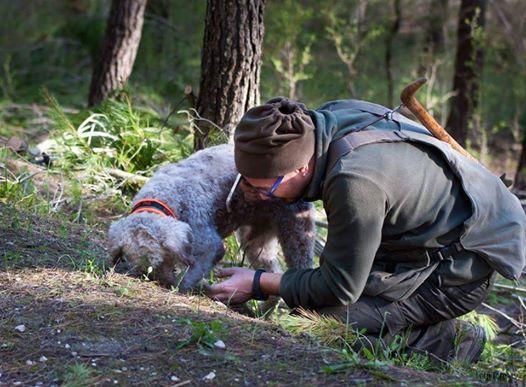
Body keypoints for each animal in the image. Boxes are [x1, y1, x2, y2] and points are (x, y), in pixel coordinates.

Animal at [105, 144, 316, 296]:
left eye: (160, 260)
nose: (161, 281)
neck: (163, 198)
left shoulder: (208, 243)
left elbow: (194, 271)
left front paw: (183, 287)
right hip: (256, 241)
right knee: (273, 272)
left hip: (296, 232)